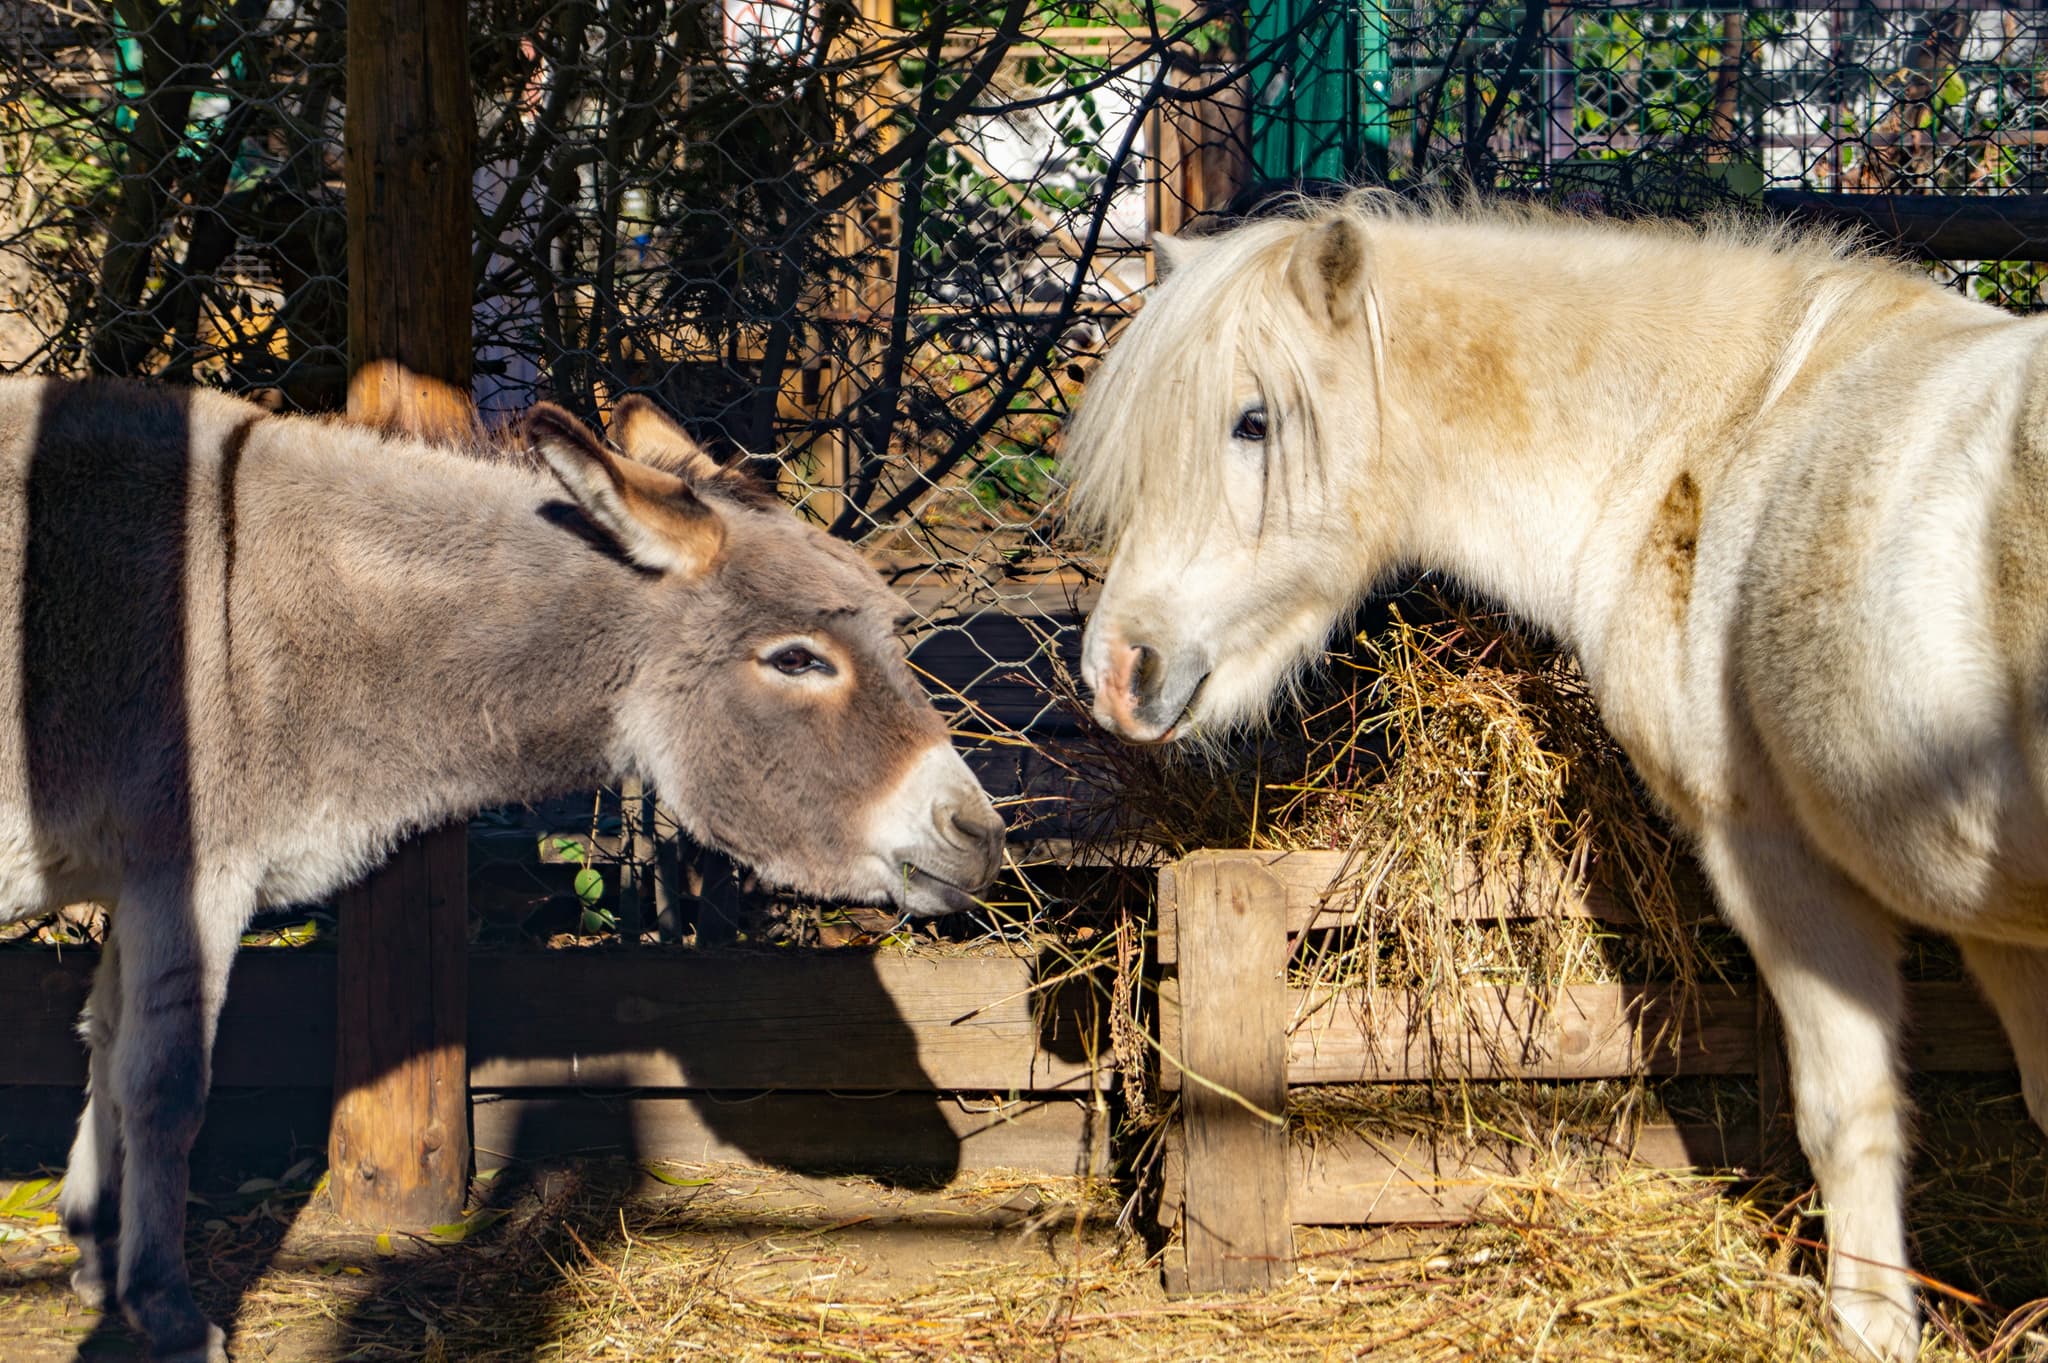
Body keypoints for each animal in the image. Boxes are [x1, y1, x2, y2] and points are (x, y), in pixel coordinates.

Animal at [0, 376, 1004, 1363]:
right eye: (797, 659)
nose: (982, 834)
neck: (270, 612)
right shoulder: (191, 873)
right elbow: (164, 1085)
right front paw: (166, 1310)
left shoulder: (134, 878)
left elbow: (103, 1042)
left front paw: (97, 1255)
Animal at [1067, 192, 2048, 1361]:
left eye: (1251, 421)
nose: (1117, 671)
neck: (1727, 428)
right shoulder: (1993, 920)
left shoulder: (1777, 862)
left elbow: (1844, 1109)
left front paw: (1867, 1325)